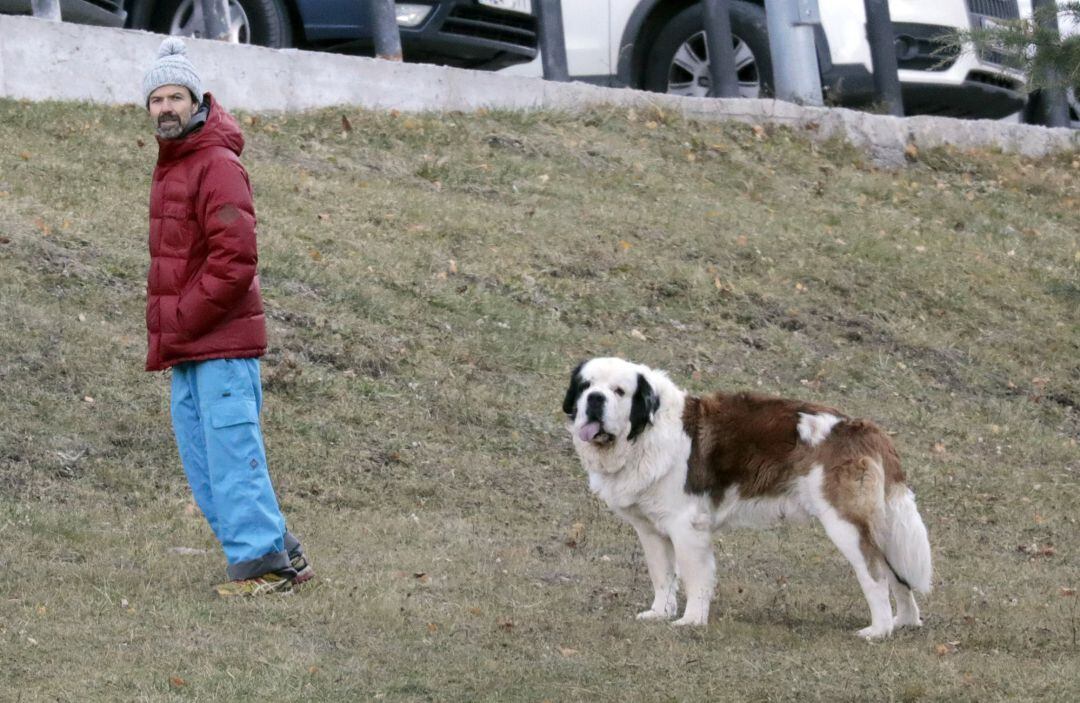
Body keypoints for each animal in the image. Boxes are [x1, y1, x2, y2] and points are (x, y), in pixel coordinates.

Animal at [561, 358, 933, 639]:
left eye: (619, 391)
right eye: (586, 386)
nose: (595, 399)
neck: (645, 432)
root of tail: (867, 428)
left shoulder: (686, 527)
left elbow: (694, 576)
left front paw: (691, 621)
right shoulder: (651, 530)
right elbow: (662, 574)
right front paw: (660, 613)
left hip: (846, 524)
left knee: (875, 574)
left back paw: (878, 631)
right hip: (879, 525)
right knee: (897, 573)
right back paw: (904, 622)